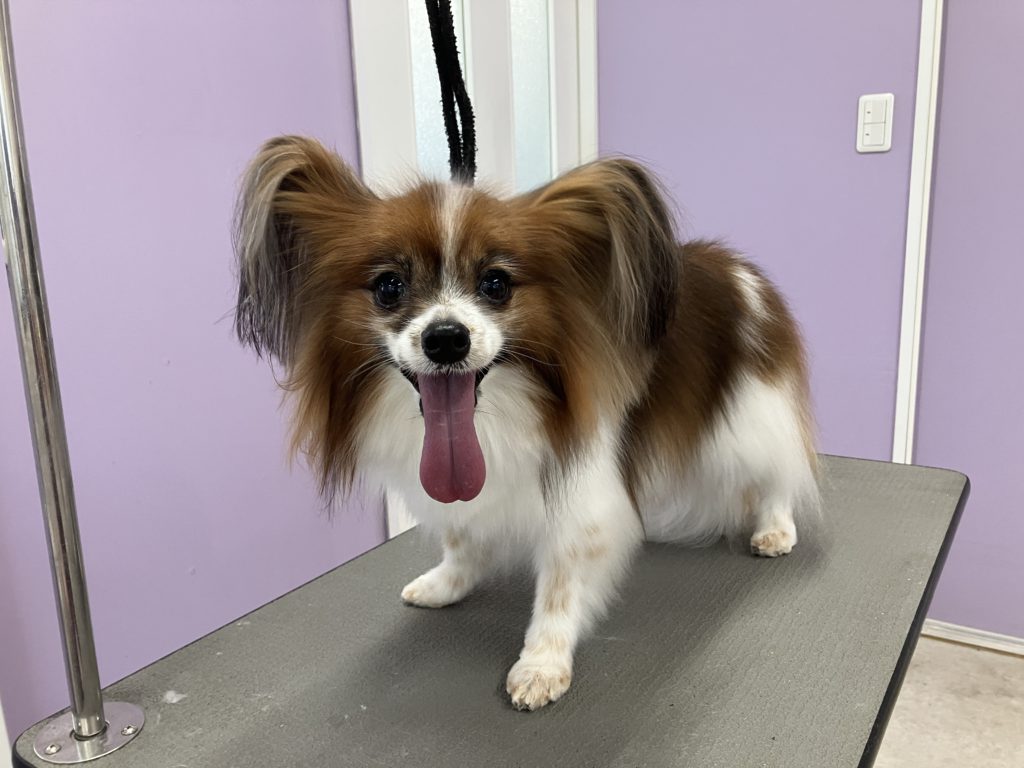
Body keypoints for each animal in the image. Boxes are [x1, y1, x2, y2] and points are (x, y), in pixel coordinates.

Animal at [233, 136, 818, 711]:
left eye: (496, 283)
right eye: (388, 287)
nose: (446, 338)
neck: (491, 417)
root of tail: (739, 270)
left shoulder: (578, 494)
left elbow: (559, 585)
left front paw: (542, 664)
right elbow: (461, 535)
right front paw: (448, 582)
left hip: (749, 419)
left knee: (776, 473)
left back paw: (774, 528)